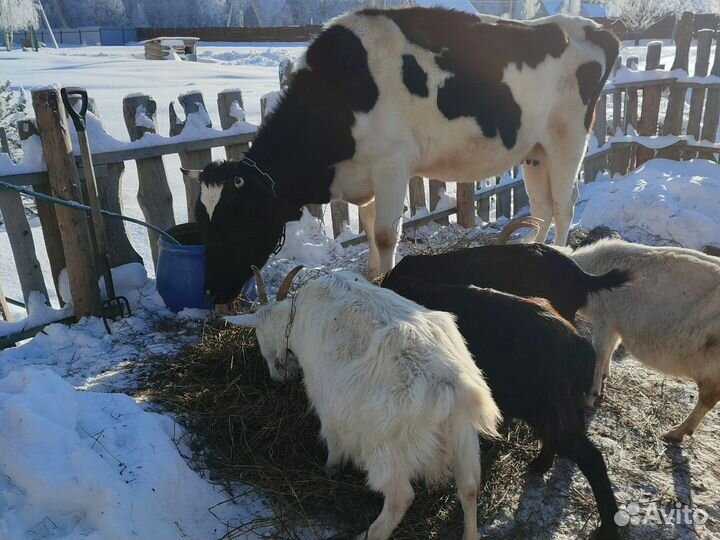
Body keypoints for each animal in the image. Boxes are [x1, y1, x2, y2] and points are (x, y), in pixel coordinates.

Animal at [182, 7, 619, 304]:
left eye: (238, 224)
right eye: (202, 222)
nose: (209, 291)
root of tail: (595, 29)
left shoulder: (392, 163)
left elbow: (384, 232)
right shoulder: (368, 175)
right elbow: (369, 225)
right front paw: (373, 275)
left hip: (568, 138)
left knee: (564, 202)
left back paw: (559, 251)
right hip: (535, 150)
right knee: (542, 203)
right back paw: (533, 246)